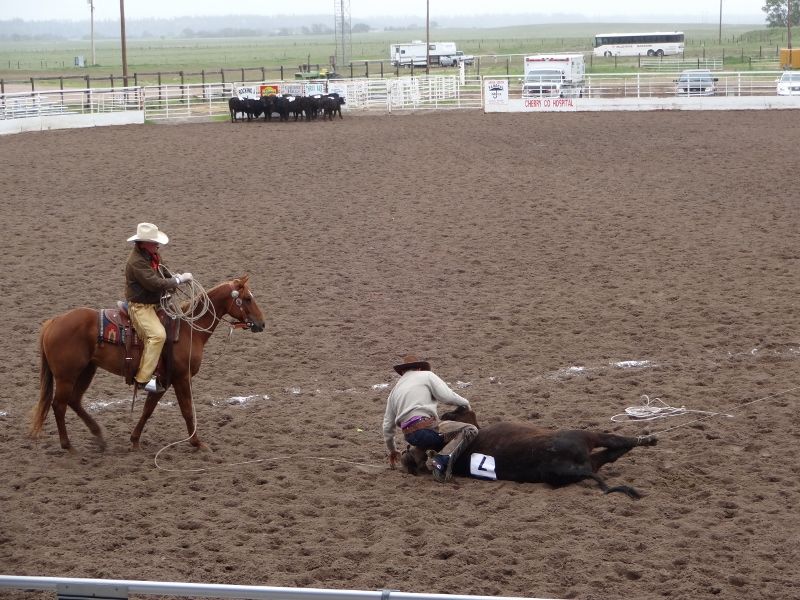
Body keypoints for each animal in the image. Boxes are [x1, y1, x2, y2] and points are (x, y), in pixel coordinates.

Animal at [30, 275, 266, 452]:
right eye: (246, 298)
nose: (262, 324)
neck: (189, 329)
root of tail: (53, 322)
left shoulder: (164, 380)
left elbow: (148, 409)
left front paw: (134, 440)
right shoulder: (181, 378)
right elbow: (187, 410)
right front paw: (197, 443)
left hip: (87, 370)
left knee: (74, 401)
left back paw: (99, 436)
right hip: (66, 376)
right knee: (59, 405)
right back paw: (68, 445)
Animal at [401, 405, 657, 499]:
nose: (448, 413)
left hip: (591, 460)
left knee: (614, 451)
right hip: (585, 437)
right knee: (617, 442)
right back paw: (650, 438)